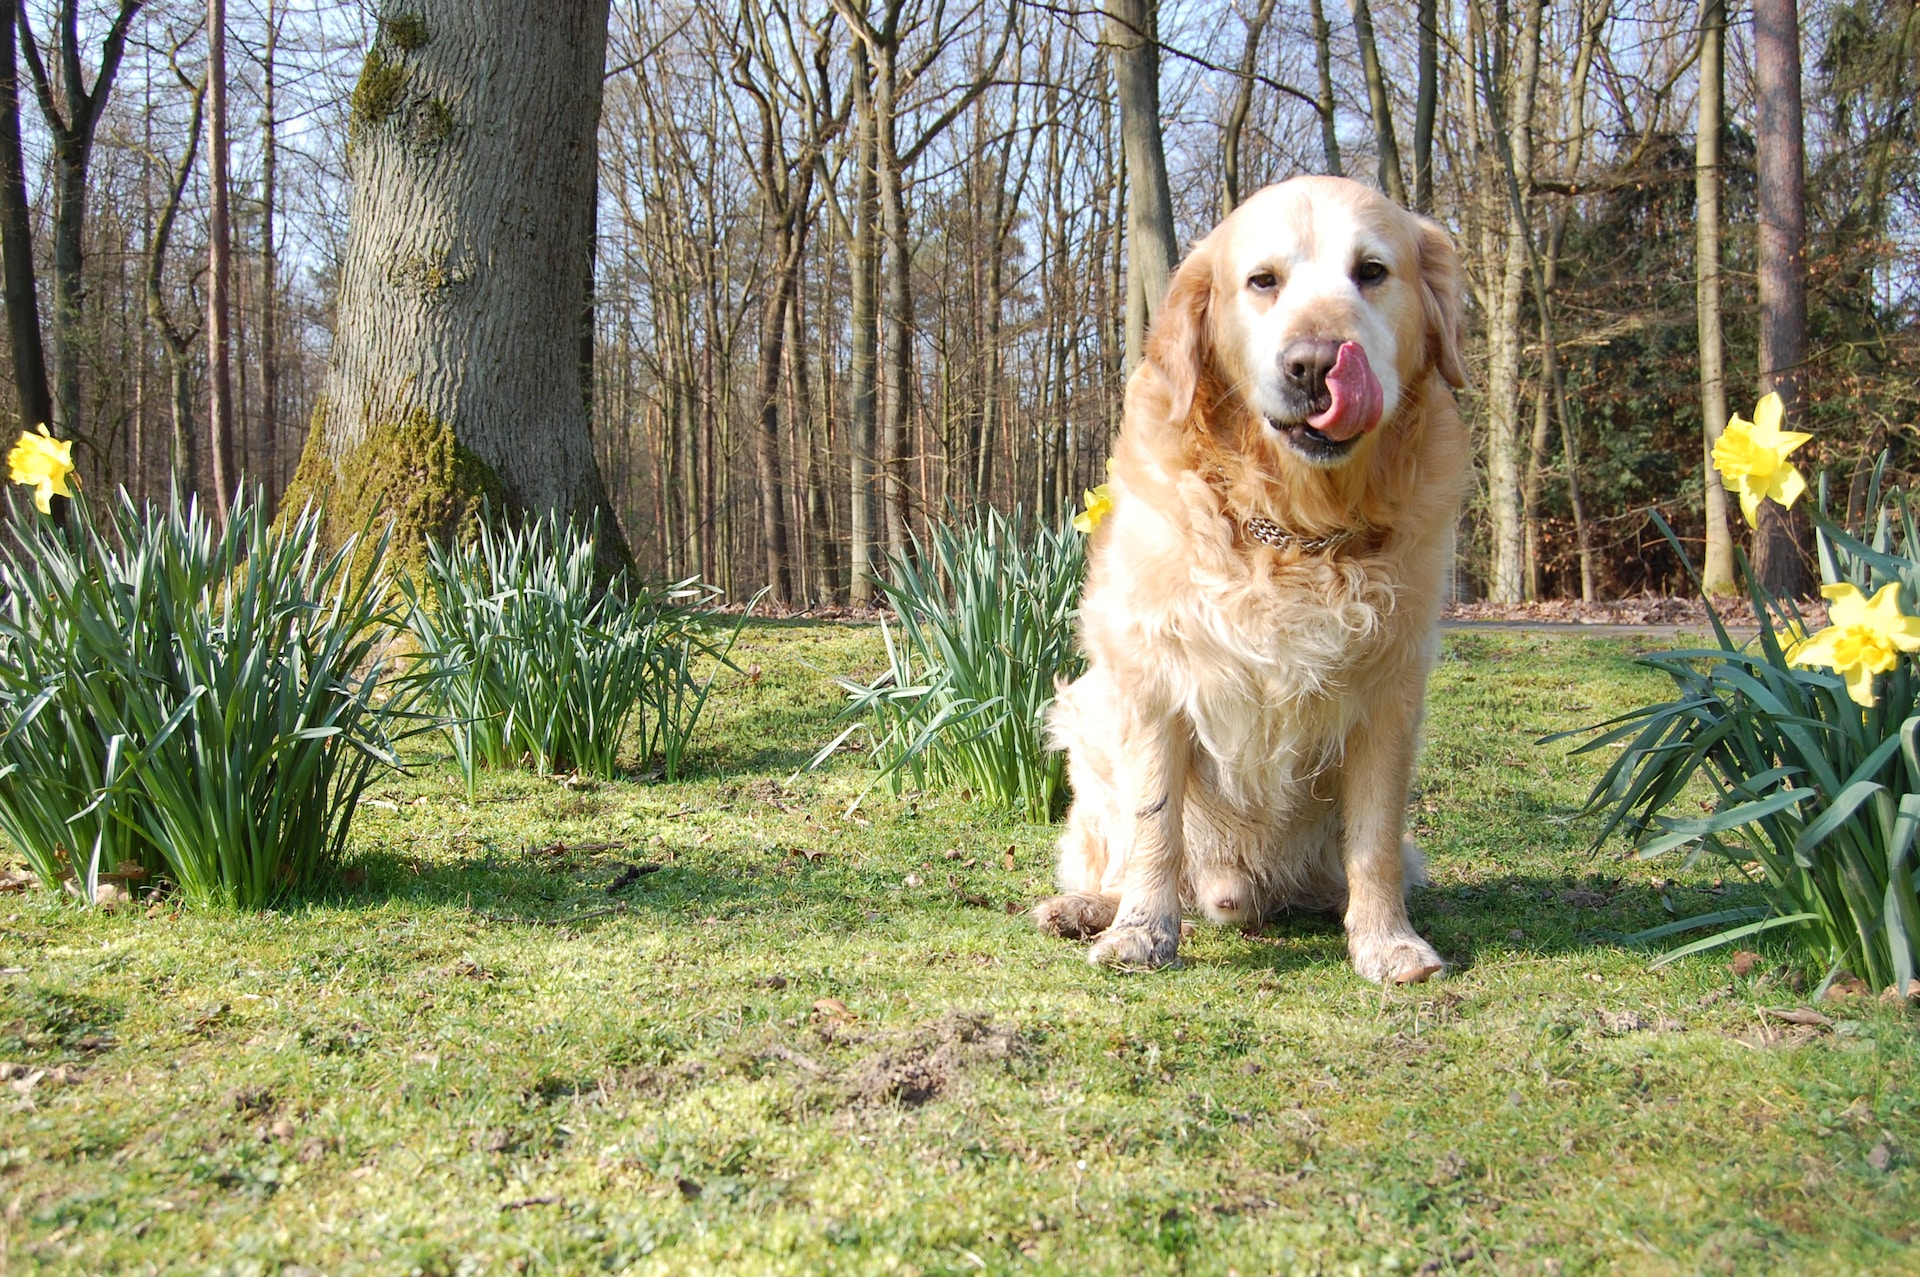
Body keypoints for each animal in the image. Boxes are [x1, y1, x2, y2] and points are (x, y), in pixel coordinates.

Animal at [1036, 174, 1466, 979]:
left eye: (1372, 271)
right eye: (1263, 281)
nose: (1316, 363)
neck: (1296, 531)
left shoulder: (1390, 690)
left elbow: (1373, 839)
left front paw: (1386, 938)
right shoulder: (1153, 676)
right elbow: (1154, 823)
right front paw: (1141, 931)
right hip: (1084, 724)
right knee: (1113, 850)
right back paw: (1086, 908)